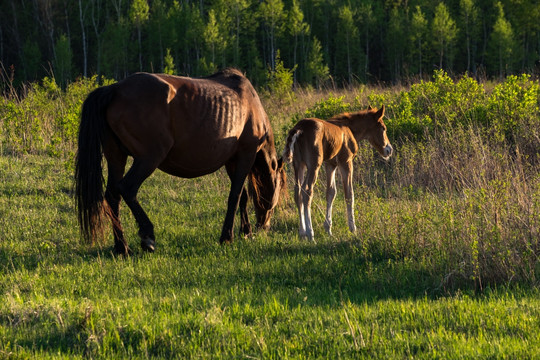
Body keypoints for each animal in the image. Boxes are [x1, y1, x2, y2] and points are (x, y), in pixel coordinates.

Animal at [77, 69, 286, 255]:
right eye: (280, 185)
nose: (264, 225)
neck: (251, 105)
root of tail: (115, 89)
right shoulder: (245, 155)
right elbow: (235, 196)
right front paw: (228, 236)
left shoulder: (232, 161)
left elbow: (242, 196)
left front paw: (246, 231)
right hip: (148, 159)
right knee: (127, 188)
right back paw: (147, 237)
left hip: (116, 157)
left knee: (113, 197)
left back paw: (122, 247)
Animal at [282, 106, 392, 242]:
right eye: (383, 128)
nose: (389, 150)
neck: (349, 129)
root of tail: (299, 129)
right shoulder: (346, 161)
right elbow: (349, 194)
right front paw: (353, 228)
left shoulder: (330, 164)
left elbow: (331, 192)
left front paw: (328, 228)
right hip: (313, 165)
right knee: (307, 191)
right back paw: (310, 234)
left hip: (298, 164)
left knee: (297, 191)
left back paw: (302, 232)